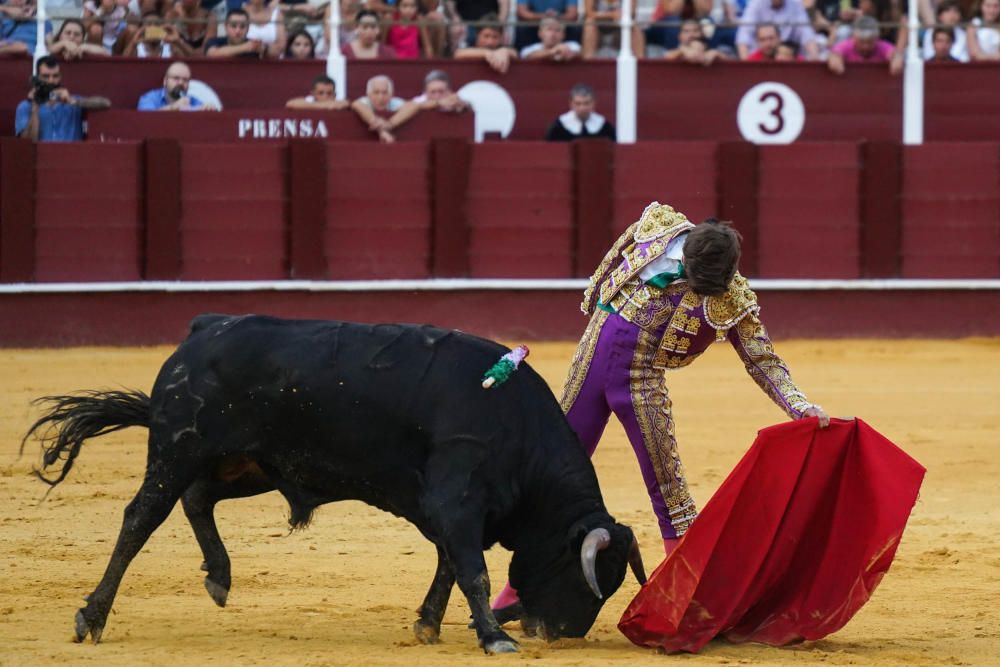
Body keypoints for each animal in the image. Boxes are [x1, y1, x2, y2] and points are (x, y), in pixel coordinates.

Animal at [27, 316, 648, 656]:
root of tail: (205, 329)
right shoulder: (457, 501)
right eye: (588, 576)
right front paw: (495, 636)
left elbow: (449, 564)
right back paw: (92, 617)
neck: (514, 423)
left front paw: (428, 624)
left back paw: (220, 578)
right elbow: (471, 568)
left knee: (199, 499)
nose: (564, 632)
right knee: (140, 518)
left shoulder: (446, 511)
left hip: (248, 464)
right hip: (177, 451)